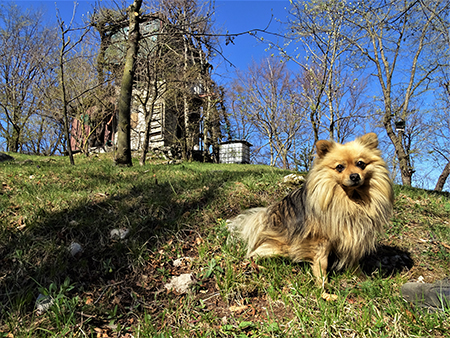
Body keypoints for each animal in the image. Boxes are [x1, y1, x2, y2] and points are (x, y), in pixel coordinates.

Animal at [229, 133, 394, 286]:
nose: (354, 176)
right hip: (280, 247)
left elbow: (354, 258)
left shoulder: (353, 234)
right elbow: (322, 263)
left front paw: (360, 277)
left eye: (360, 164)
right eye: (340, 167)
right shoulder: (321, 240)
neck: (351, 199)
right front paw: (322, 284)